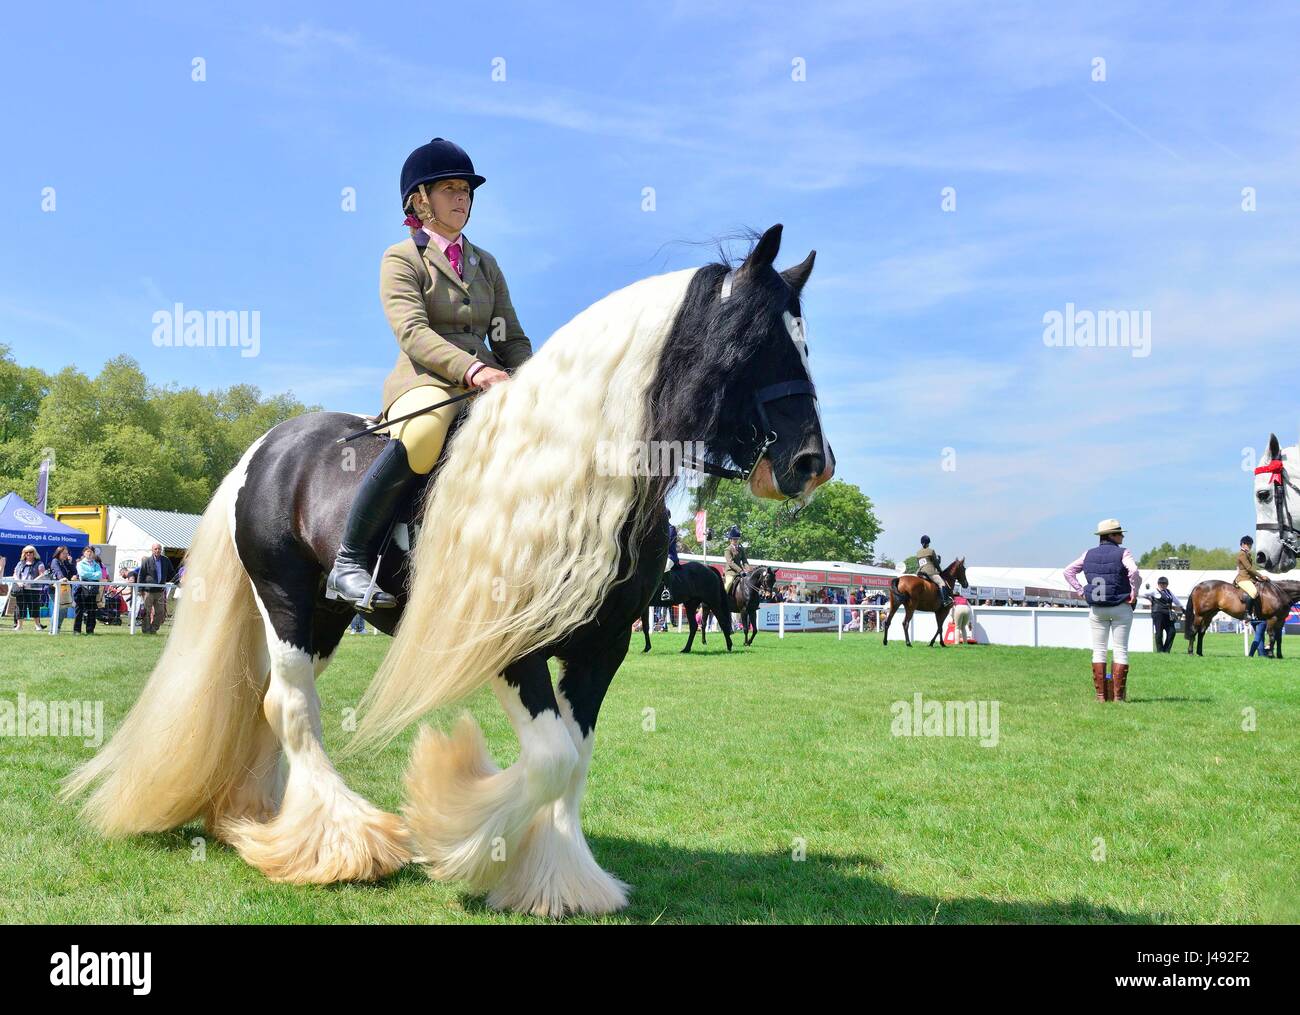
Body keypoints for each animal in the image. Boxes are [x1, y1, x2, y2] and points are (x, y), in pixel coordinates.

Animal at [61, 222, 832, 920]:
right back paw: (344, 844)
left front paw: (556, 881)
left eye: (805, 340)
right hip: (285, 600)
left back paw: (266, 824)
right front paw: (458, 830)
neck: (583, 474)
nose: (810, 464)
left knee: (271, 706)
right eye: (757, 341)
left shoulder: (603, 645)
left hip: (325, 617)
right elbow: (550, 760)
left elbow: (574, 760)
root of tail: (266, 447)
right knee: (292, 708)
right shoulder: (509, 644)